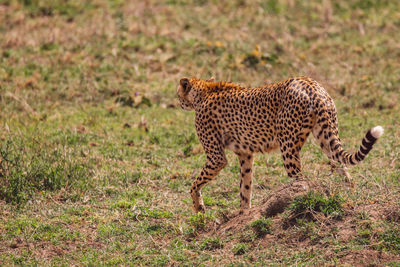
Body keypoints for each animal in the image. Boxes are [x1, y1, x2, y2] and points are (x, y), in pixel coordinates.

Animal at [177, 77, 382, 214]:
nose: (178, 102)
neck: (205, 92)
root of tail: (311, 85)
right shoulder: (245, 154)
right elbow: (245, 187)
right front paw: (243, 215)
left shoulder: (216, 157)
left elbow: (195, 185)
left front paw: (199, 208)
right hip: (326, 138)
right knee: (343, 168)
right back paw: (349, 197)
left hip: (288, 146)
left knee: (301, 180)